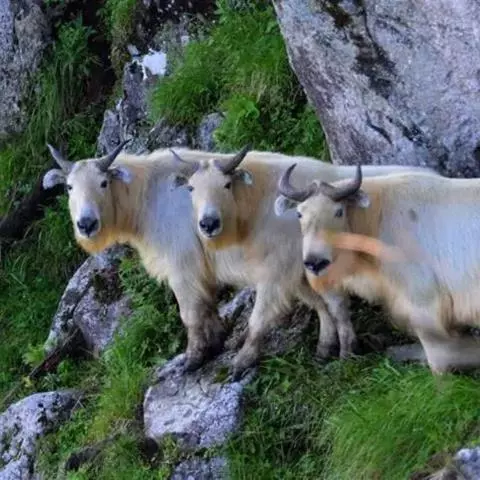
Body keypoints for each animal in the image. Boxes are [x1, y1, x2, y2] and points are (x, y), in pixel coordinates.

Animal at [169, 147, 439, 375]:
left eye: (226, 185)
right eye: (191, 188)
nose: (208, 224)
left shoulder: (277, 272)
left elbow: (260, 316)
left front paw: (242, 362)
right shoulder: (301, 274)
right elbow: (327, 307)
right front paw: (331, 350)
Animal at [275, 163, 480, 374]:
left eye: (338, 212)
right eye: (299, 213)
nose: (315, 263)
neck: (378, 221)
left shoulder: (423, 301)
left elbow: (438, 354)